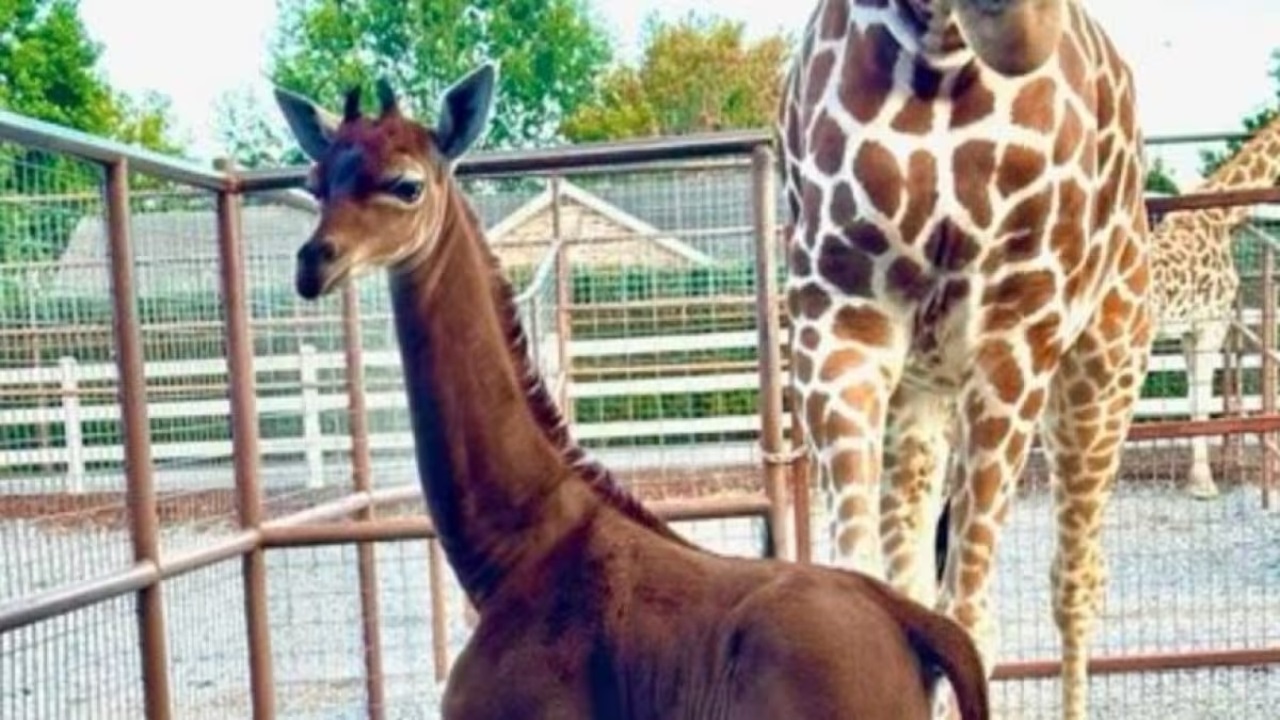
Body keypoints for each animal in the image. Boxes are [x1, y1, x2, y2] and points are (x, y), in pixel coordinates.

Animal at [776, 1, 1151, 718]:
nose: (1023, 25)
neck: (941, 60)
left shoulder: (1015, 333)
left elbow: (972, 621)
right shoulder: (839, 322)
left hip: (1104, 370)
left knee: (1075, 582)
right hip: (920, 397)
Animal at [1149, 111, 1280, 499]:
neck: (1224, 214)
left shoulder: (1189, 331)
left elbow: (1195, 397)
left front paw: (1195, 479)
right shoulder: (1213, 322)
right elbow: (1202, 401)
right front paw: (1203, 484)